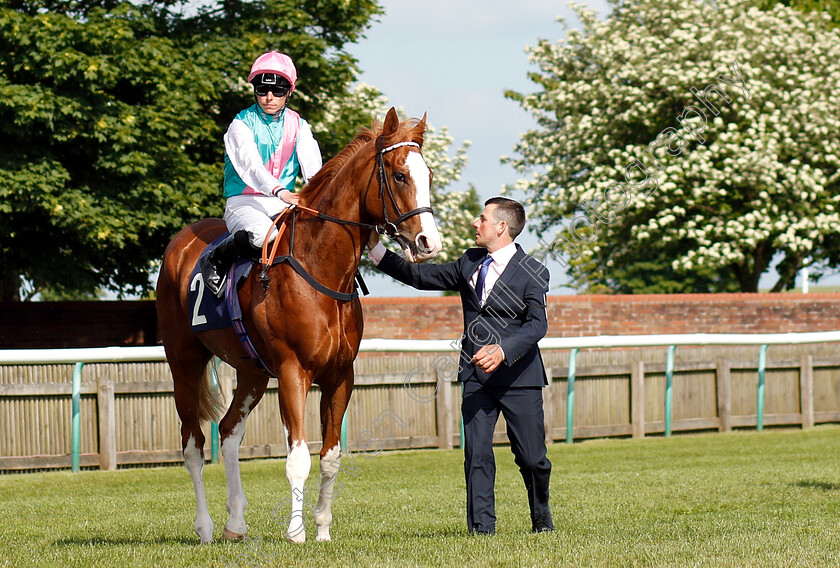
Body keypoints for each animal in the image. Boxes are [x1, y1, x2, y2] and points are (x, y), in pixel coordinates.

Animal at [155, 108, 442, 544]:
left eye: (428, 175)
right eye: (398, 175)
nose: (429, 242)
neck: (320, 268)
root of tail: (180, 243)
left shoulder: (340, 376)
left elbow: (330, 456)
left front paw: (322, 528)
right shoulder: (293, 372)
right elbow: (298, 457)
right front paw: (296, 532)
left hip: (252, 372)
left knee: (229, 432)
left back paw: (236, 523)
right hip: (184, 362)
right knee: (193, 444)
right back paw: (205, 527)